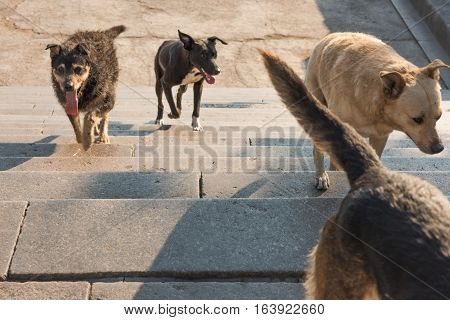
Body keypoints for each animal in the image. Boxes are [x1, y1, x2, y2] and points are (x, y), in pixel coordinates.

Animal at [260, 50, 450, 300]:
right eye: (416, 119)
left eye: (439, 117)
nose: (439, 148)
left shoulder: (381, 136)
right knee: (318, 151)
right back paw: (322, 175)